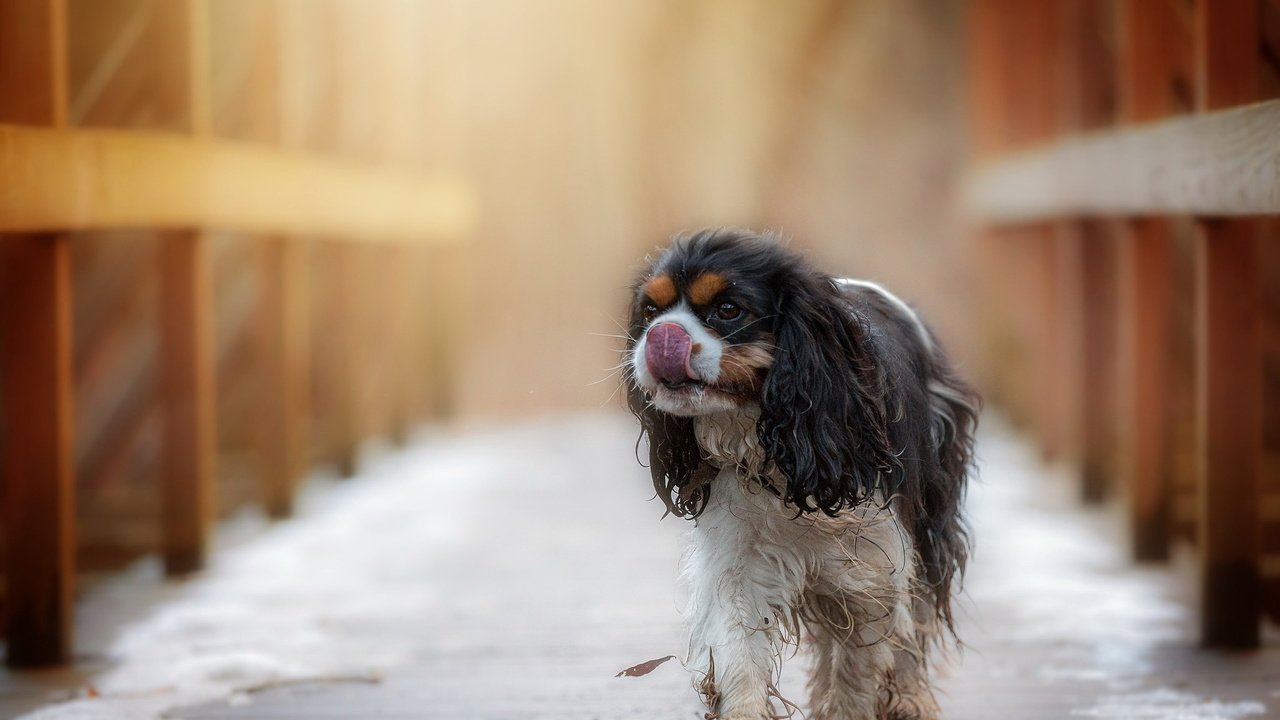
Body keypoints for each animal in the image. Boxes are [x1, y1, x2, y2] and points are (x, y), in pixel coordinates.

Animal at [624, 229, 972, 717]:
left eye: (728, 310)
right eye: (650, 312)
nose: (660, 334)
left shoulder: (876, 563)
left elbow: (858, 666)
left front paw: (854, 706)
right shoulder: (738, 563)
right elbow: (739, 655)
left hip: (929, 525)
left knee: (916, 620)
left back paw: (910, 699)